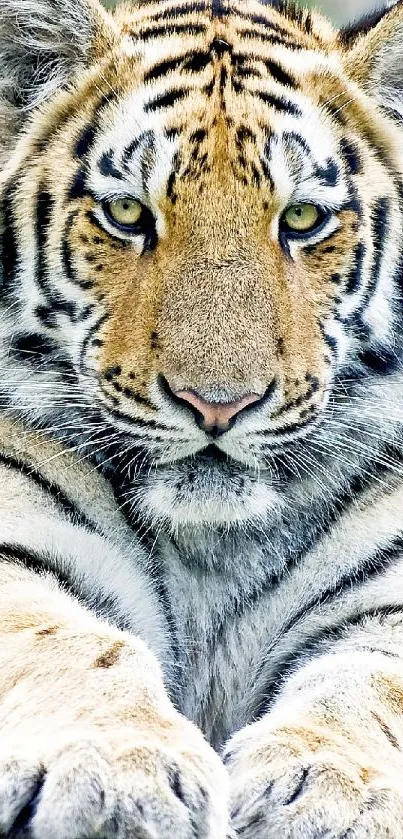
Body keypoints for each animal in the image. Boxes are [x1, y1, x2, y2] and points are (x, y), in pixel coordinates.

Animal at [0, 0, 403, 836]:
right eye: (127, 213)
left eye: (302, 219)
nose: (218, 403)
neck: (212, 553)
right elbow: (70, 642)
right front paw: (114, 772)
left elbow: (369, 686)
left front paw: (333, 794)